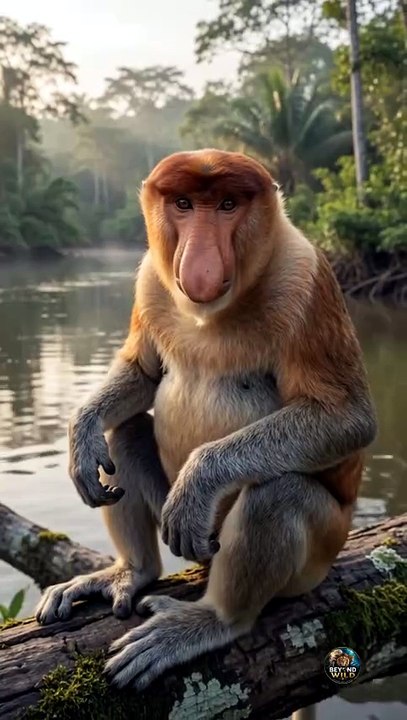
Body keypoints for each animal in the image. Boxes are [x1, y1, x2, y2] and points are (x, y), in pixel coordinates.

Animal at [35, 149, 377, 691]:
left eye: (227, 205)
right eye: (183, 204)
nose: (199, 262)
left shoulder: (306, 277)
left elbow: (349, 416)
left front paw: (199, 480)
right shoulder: (150, 279)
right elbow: (143, 372)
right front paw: (82, 435)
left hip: (319, 551)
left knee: (278, 495)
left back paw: (212, 620)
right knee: (125, 432)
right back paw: (130, 570)